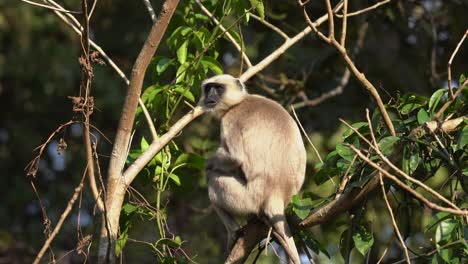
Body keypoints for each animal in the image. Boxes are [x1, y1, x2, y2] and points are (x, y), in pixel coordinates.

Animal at [198, 73, 306, 262]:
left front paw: (208, 164)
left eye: (218, 88)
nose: (210, 95)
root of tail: (277, 195)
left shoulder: (231, 119)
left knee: (214, 181)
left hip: (248, 199)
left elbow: (235, 157)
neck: (241, 101)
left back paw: (234, 233)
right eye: (208, 88)